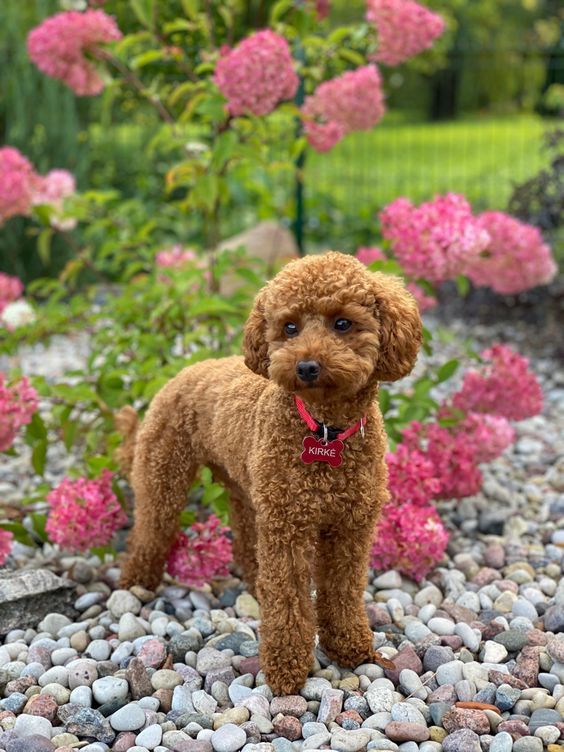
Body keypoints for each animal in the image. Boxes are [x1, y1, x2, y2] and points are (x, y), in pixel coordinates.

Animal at [119, 251, 420, 692]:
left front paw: (348, 645)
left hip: (245, 489)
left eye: (342, 323)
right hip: (164, 477)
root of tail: (182, 374)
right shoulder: (288, 528)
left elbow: (343, 590)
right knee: (150, 532)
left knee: (246, 540)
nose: (307, 366)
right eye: (289, 327)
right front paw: (285, 668)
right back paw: (135, 586)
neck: (323, 430)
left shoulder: (351, 526)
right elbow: (289, 599)